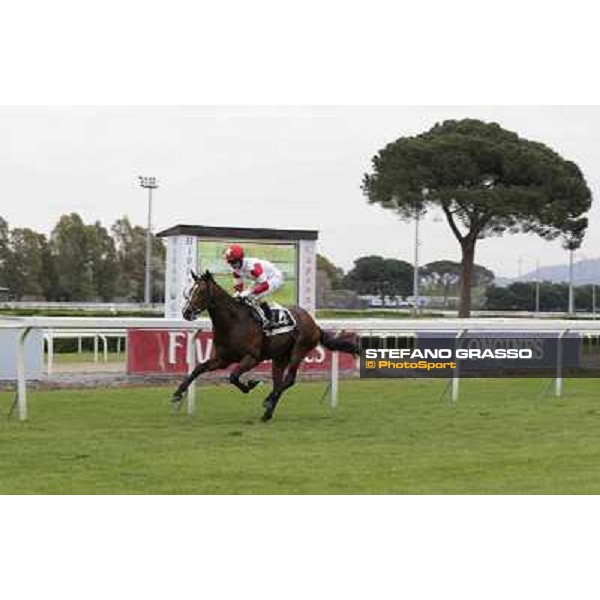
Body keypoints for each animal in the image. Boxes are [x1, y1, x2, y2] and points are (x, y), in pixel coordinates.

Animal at [170, 272, 356, 422]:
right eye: (189, 291)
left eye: (200, 291)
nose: (186, 312)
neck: (233, 322)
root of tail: (314, 324)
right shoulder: (222, 359)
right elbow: (198, 369)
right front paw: (178, 393)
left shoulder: (252, 358)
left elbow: (233, 376)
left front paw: (251, 384)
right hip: (280, 358)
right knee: (278, 381)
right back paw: (267, 413)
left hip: (299, 350)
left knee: (289, 380)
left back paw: (268, 401)